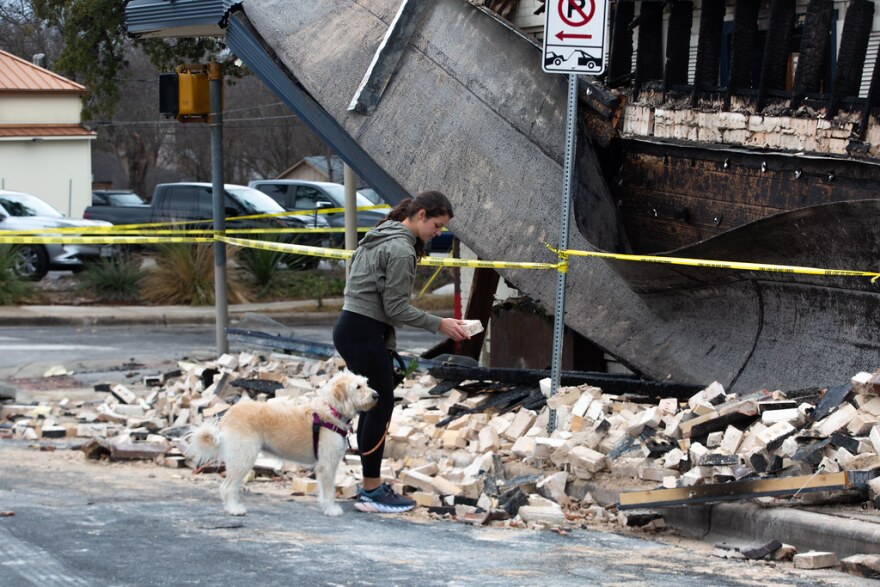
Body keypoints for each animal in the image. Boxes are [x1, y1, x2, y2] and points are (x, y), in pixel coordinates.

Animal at [186, 370, 378, 516]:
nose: (376, 395)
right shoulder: (327, 465)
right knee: (227, 487)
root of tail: (227, 416)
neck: (331, 410)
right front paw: (332, 510)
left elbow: (324, 490)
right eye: (358, 387)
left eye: (366, 383)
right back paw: (234, 509)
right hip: (243, 458)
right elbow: (329, 490)